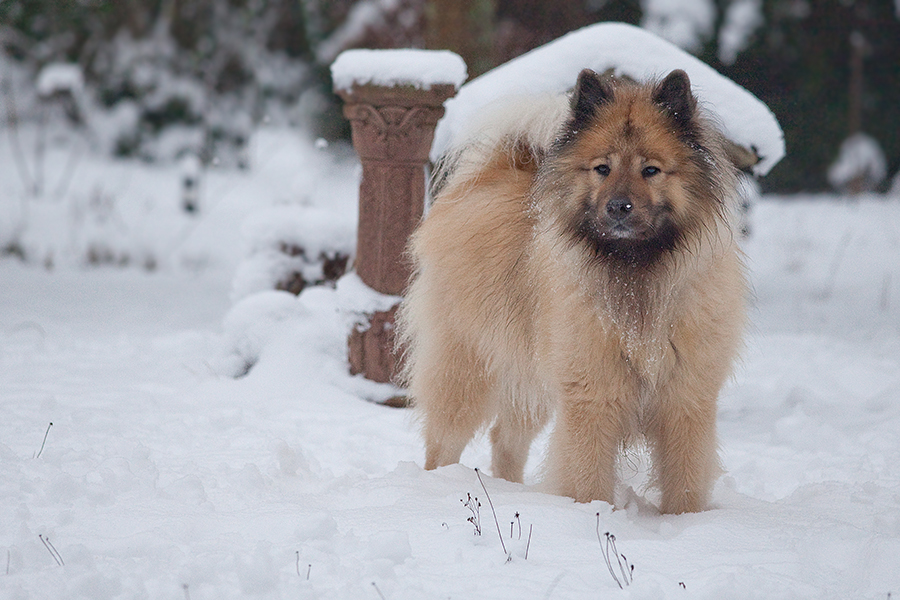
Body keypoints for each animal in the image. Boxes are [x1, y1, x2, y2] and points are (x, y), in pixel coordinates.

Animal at [400, 69, 744, 510]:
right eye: (602, 168)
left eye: (651, 170)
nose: (619, 207)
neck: (634, 275)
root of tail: (493, 173)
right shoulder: (591, 398)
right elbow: (588, 478)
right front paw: (593, 515)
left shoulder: (685, 401)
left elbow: (684, 484)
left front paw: (684, 522)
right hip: (468, 367)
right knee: (444, 442)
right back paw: (438, 488)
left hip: (528, 374)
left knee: (505, 439)